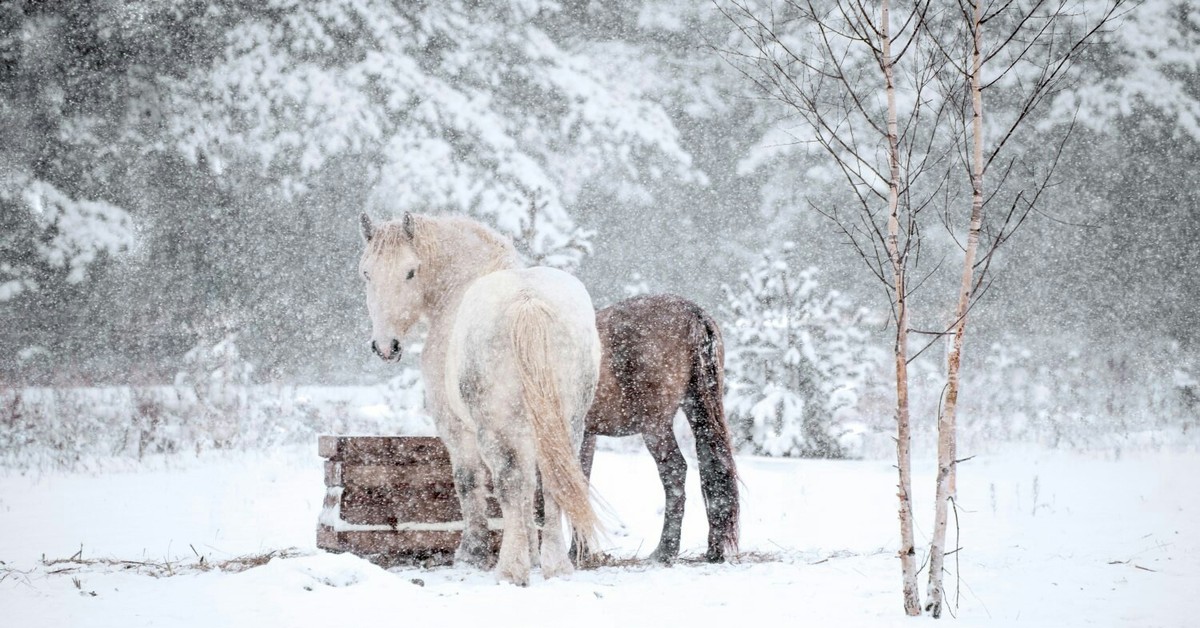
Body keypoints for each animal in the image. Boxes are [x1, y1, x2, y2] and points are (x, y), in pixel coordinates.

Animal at [355, 213, 600, 588]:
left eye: (410, 272)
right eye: (367, 272)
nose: (385, 346)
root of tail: (527, 301)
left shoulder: (455, 428)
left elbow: (469, 482)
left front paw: (472, 553)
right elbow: (530, 493)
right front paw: (532, 552)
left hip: (494, 430)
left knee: (509, 483)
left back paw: (511, 570)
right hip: (567, 424)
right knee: (551, 483)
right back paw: (556, 565)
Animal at [583, 296, 739, 564]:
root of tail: (693, 313)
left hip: (655, 426)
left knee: (675, 471)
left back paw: (665, 551)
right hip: (698, 411)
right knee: (712, 466)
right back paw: (713, 551)